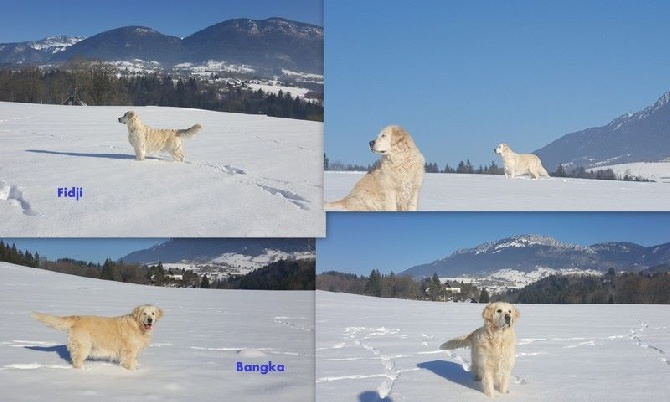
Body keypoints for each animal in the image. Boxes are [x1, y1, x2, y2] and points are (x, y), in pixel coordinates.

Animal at [32, 304, 163, 370]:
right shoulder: (129, 350)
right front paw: (133, 372)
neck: (138, 326)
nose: (150, 320)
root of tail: (76, 318)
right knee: (77, 360)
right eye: (144, 313)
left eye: (153, 313)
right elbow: (130, 362)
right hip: (84, 346)